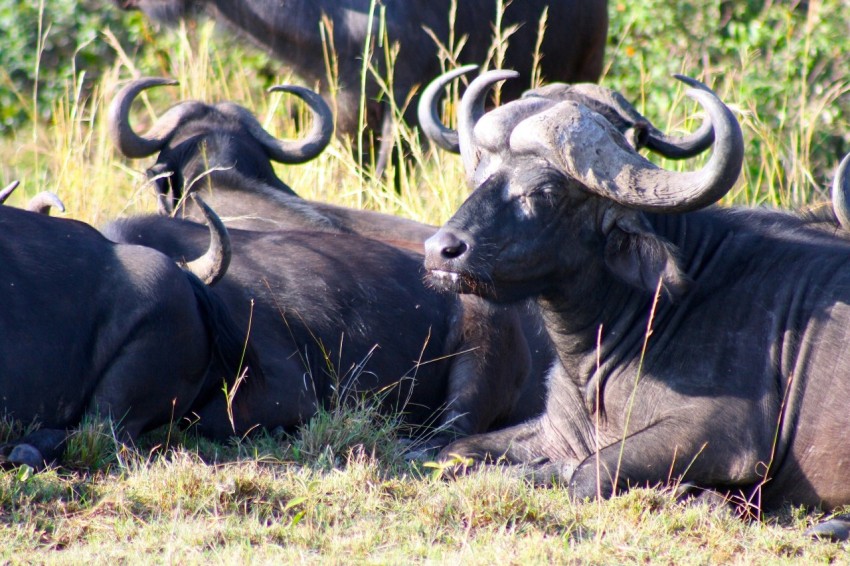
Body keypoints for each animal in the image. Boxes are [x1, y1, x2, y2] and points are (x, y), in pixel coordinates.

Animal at [423, 70, 850, 538]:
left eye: (543, 191)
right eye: (480, 176)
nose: (440, 250)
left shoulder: (730, 433)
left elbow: (586, 474)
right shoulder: (556, 431)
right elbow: (453, 452)